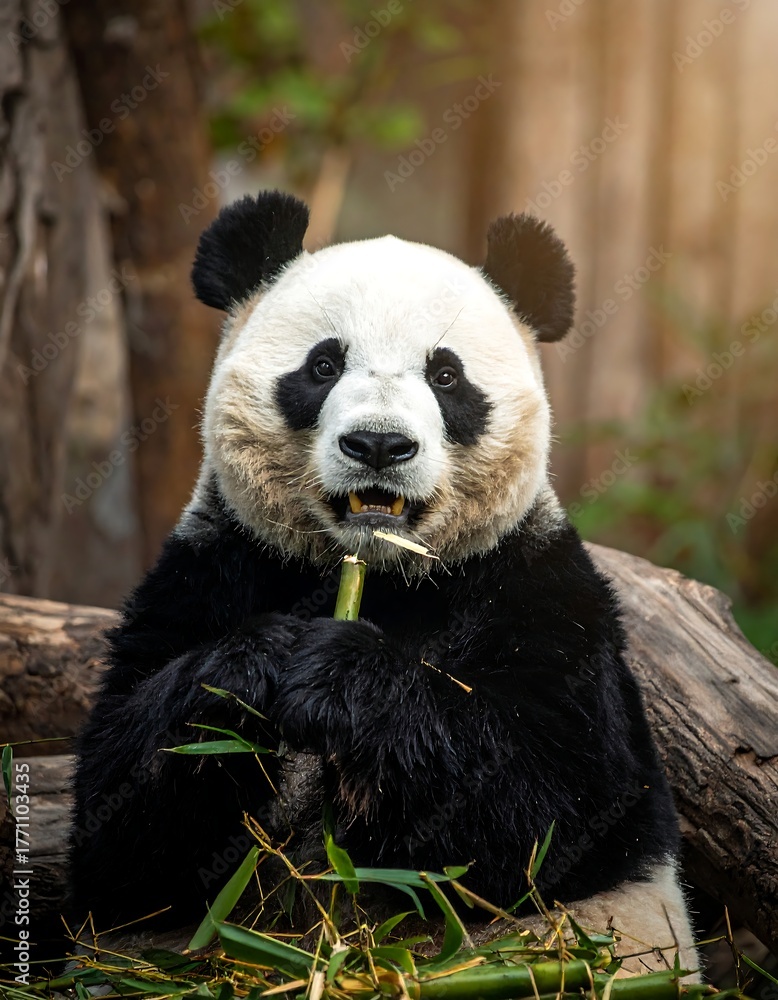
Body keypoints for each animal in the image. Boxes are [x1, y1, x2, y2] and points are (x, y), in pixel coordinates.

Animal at [71, 189, 696, 972]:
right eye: (323, 365)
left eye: (447, 376)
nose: (377, 444)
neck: (381, 572)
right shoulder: (217, 565)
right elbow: (119, 826)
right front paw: (252, 668)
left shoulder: (537, 587)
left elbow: (552, 807)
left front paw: (340, 677)